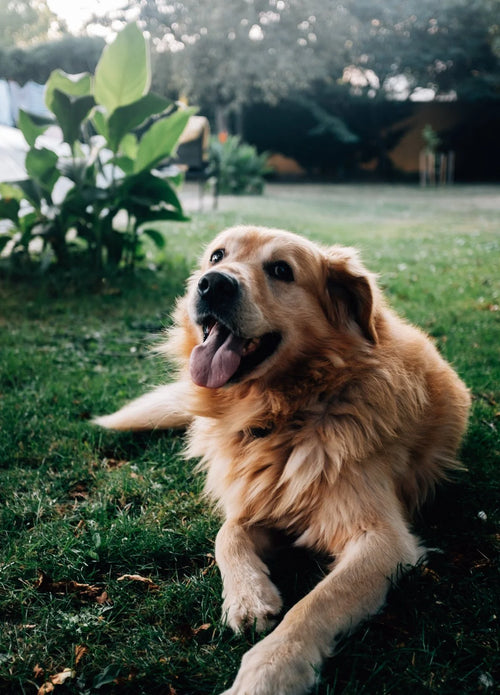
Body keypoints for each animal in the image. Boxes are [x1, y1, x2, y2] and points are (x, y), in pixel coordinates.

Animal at [95, 226, 470, 692]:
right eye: (217, 255)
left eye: (281, 270)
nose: (213, 284)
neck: (287, 415)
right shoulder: (262, 501)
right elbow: (226, 534)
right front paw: (248, 596)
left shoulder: (384, 540)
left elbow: (317, 602)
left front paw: (269, 670)